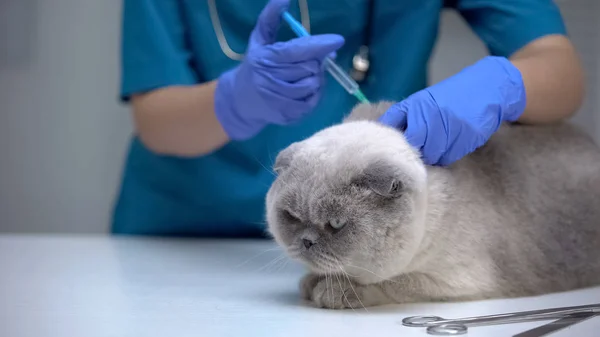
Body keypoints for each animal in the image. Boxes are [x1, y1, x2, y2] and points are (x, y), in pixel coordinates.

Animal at [264, 100, 600, 308]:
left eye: (335, 224)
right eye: (292, 217)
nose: (306, 242)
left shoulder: (456, 281)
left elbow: (392, 282)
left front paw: (333, 292)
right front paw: (313, 283)